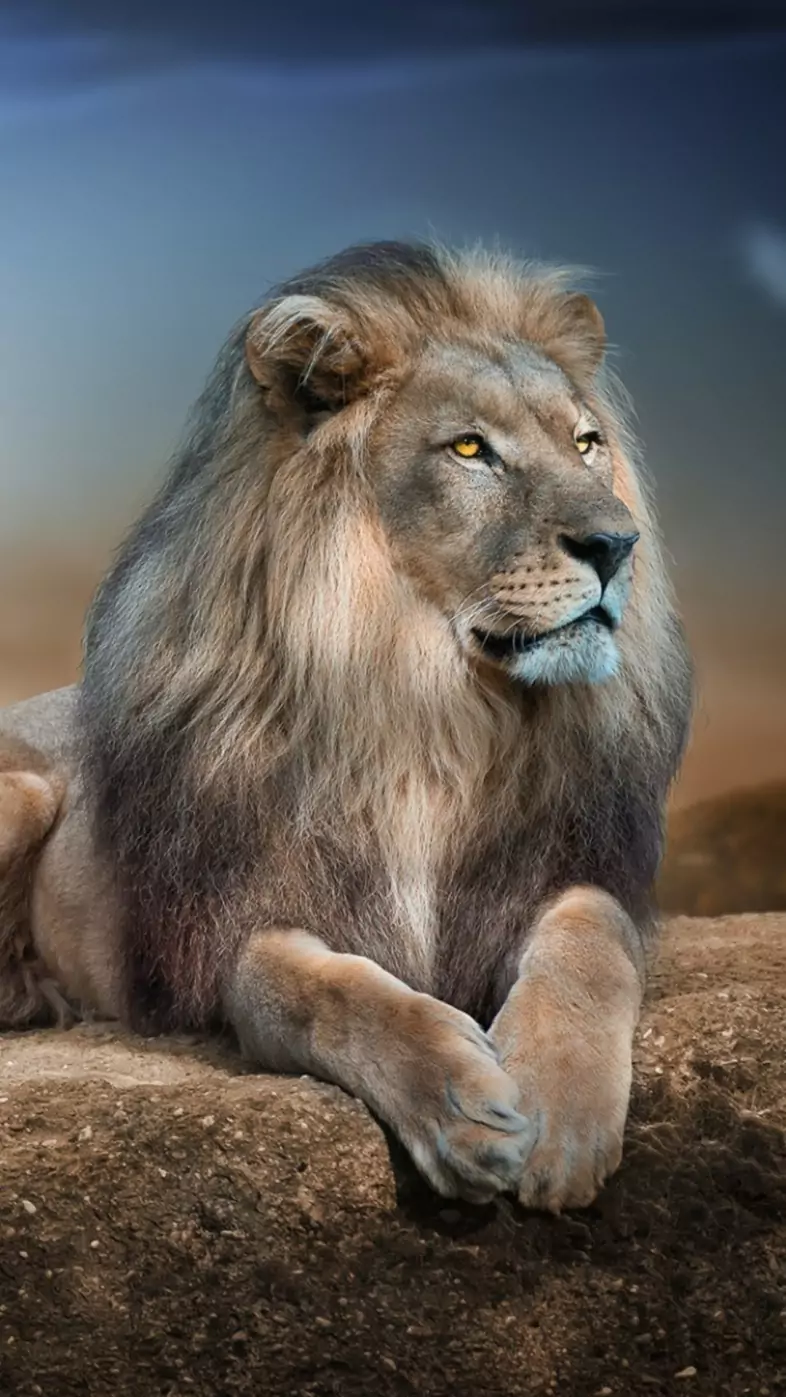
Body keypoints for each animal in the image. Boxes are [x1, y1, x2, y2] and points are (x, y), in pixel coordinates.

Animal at [0, 240, 692, 1210]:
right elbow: (317, 989)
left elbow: (592, 940)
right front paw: (461, 1105)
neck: (430, 708)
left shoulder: (564, 865)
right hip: (23, 789)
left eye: (586, 443)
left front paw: (559, 1110)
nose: (616, 544)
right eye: (471, 448)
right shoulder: (239, 926)